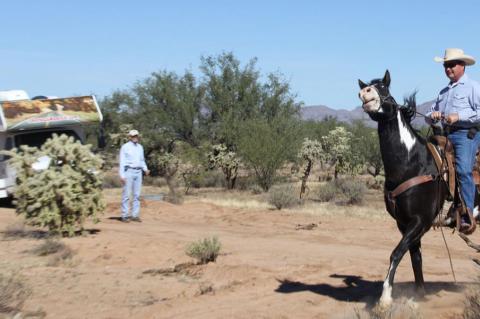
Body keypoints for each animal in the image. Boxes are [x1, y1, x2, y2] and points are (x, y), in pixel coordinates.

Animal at [356, 70, 450, 308]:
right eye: (367, 86)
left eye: (383, 87)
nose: (365, 92)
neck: (411, 164)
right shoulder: (403, 222)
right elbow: (415, 256)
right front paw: (420, 293)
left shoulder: (420, 220)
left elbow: (396, 253)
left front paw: (385, 298)